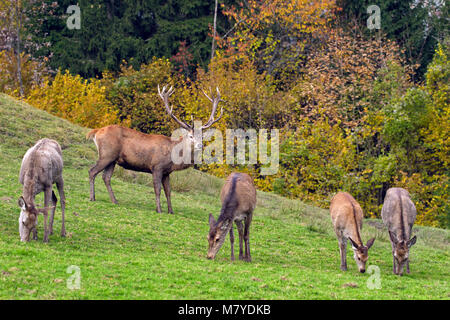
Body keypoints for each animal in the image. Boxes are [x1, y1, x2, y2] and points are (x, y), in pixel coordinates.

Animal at [86, 86, 223, 214]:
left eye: (202, 137)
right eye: (190, 136)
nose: (200, 145)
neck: (173, 156)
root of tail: (96, 132)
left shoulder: (167, 172)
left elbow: (168, 191)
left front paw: (171, 211)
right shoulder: (156, 166)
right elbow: (158, 190)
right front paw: (159, 210)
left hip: (113, 159)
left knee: (106, 177)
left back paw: (114, 200)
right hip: (106, 154)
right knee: (92, 171)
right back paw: (92, 197)